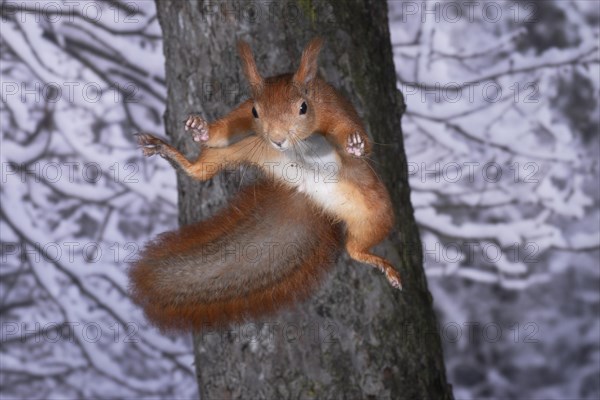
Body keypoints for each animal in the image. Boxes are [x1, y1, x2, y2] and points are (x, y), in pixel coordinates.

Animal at [134, 38, 400, 332]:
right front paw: (200, 129)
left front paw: (355, 145)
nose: (277, 139)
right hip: (249, 149)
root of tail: (305, 191)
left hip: (374, 211)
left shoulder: (336, 111)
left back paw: (382, 265)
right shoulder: (242, 116)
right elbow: (223, 132)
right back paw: (172, 155)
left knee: (356, 248)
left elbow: (358, 139)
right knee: (201, 171)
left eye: (303, 107)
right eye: (255, 111)